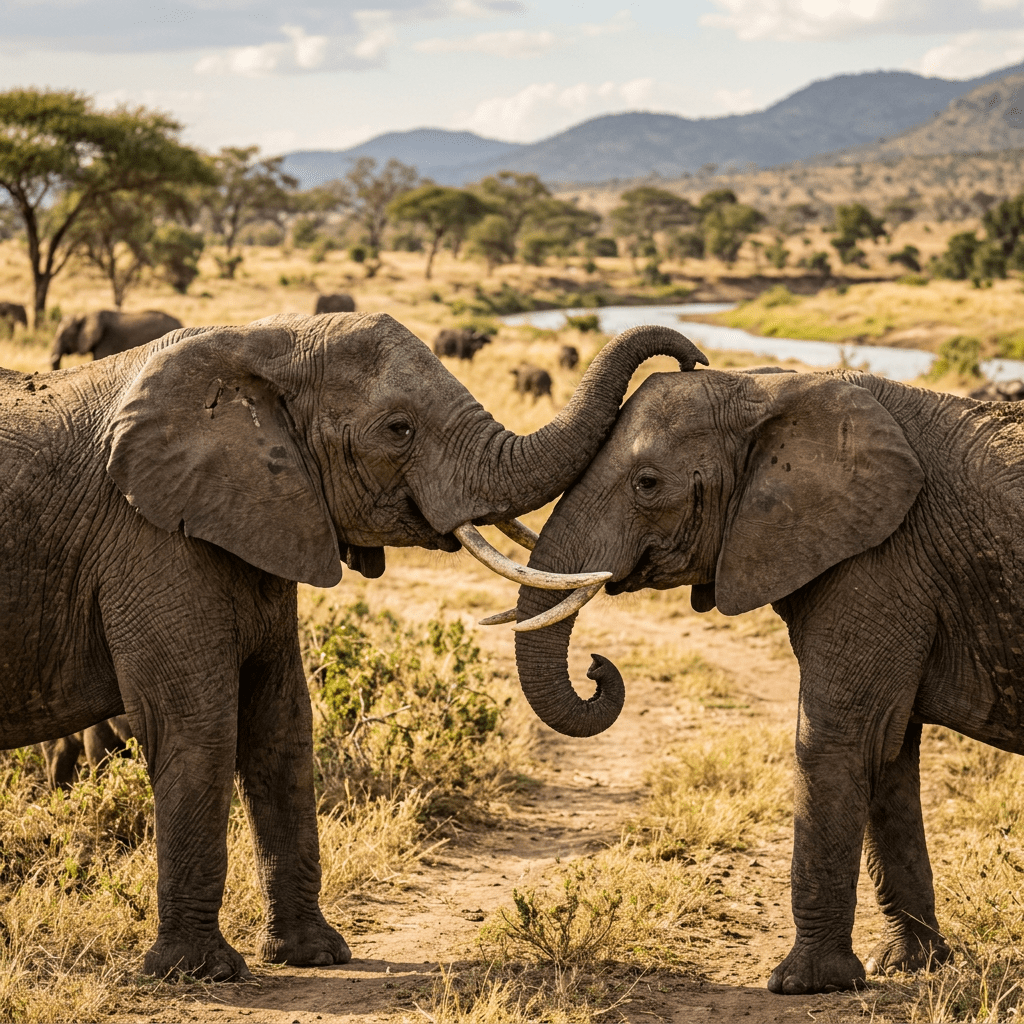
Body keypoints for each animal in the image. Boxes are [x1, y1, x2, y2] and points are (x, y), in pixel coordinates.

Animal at [504, 362, 1024, 996]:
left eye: (647, 484)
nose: (597, 667)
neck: (773, 388)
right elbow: (889, 750)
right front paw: (908, 965)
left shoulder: (881, 559)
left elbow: (837, 741)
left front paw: (803, 984)